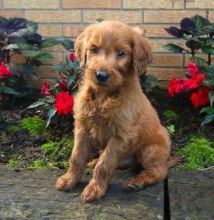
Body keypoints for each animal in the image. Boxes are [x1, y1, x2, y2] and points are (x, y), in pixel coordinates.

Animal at [55, 20, 171, 203]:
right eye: (94, 49)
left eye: (121, 53)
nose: (101, 75)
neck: (104, 96)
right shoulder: (82, 128)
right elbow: (76, 157)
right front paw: (69, 179)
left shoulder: (121, 135)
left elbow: (105, 164)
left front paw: (94, 189)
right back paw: (94, 161)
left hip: (150, 150)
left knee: (159, 171)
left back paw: (137, 181)